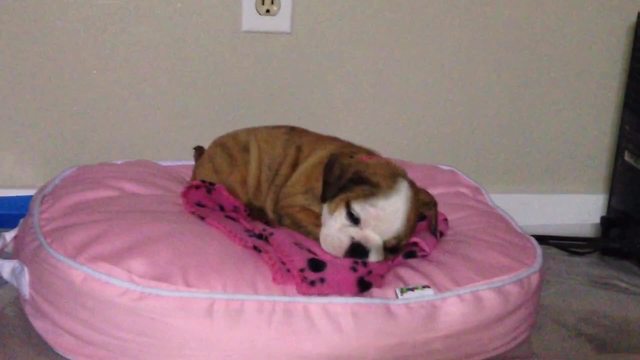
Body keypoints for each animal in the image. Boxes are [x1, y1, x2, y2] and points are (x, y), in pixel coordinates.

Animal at [192, 126, 438, 262]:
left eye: (392, 249)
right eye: (352, 215)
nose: (359, 250)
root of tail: (203, 154)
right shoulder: (293, 206)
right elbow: (317, 224)